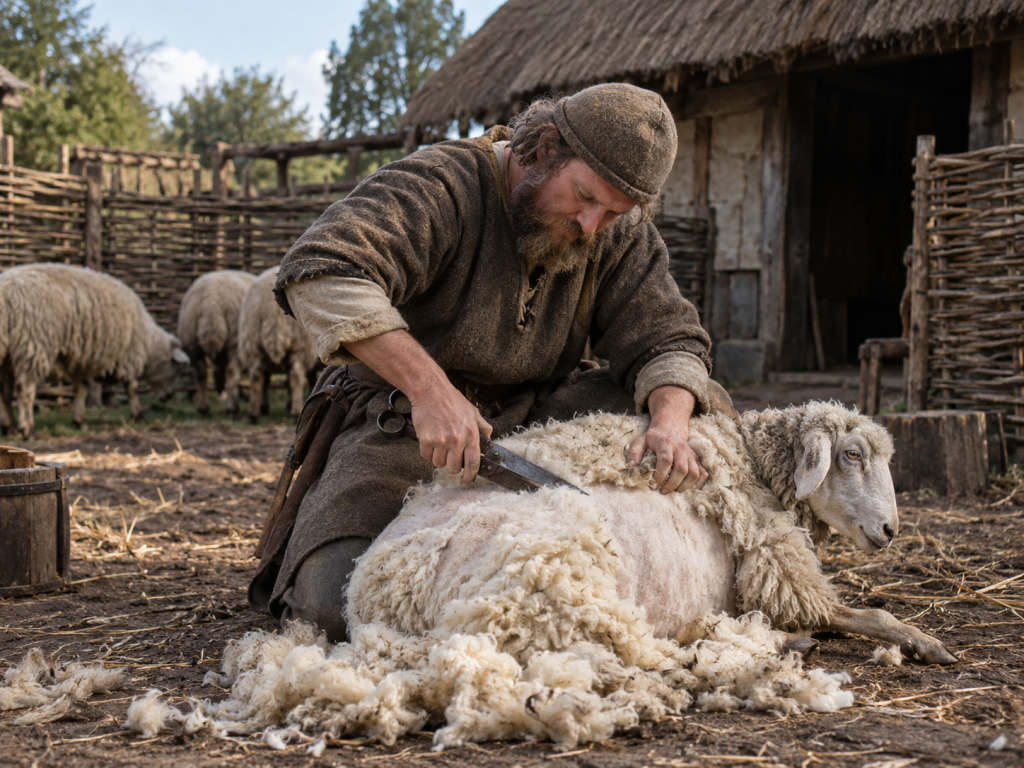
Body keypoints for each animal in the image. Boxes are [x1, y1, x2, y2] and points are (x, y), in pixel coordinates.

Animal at [0, 263, 189, 438]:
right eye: (177, 369)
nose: (169, 396)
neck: (149, 344)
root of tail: (7, 292)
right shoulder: (128, 356)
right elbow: (132, 388)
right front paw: (139, 416)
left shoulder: (79, 360)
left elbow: (81, 389)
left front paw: (80, 421)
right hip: (34, 345)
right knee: (25, 389)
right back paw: (28, 429)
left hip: (7, 355)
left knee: (5, 392)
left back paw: (9, 427)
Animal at [178, 270, 256, 417]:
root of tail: (212, 302)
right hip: (234, 341)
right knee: (232, 373)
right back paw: (232, 409)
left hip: (190, 340)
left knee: (201, 373)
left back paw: (203, 409)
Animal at [238, 266, 319, 423]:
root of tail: (272, 307)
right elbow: (310, 378)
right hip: (300, 345)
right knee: (296, 376)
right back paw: (296, 411)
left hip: (253, 341)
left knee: (256, 376)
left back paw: (254, 414)